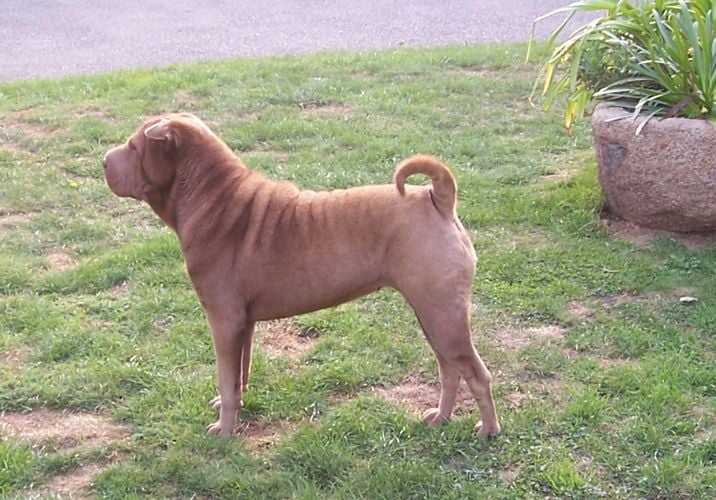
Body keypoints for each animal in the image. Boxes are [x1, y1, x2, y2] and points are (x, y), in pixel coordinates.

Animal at [103, 113, 500, 438]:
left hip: (442, 315)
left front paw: (224, 430)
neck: (211, 198)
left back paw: (488, 430)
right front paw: (234, 405)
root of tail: (437, 199)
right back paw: (440, 418)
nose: (104, 160)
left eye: (135, 146)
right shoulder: (242, 323)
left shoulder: (223, 321)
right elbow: (240, 374)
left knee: (477, 374)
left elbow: (225, 378)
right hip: (432, 315)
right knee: (450, 369)